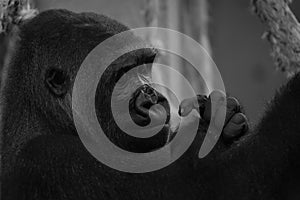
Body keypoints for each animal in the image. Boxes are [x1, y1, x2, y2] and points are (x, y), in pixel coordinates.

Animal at [0, 9, 300, 200]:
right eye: (122, 74)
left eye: (145, 66)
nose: (152, 96)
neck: (43, 117)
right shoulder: (54, 161)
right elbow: (219, 186)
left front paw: (219, 121)